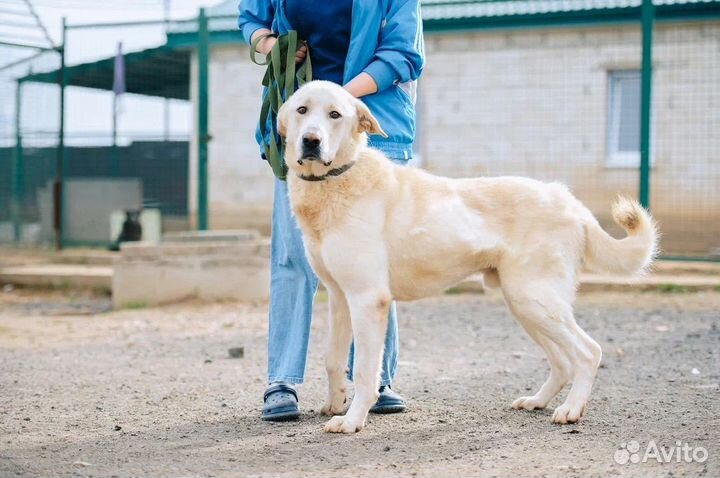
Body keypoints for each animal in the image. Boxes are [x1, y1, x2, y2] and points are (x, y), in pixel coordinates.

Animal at [278, 81, 660, 434]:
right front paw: (334, 404)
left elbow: (363, 371)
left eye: (335, 115)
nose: (311, 141)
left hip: (535, 299)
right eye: (302, 110)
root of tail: (568, 200)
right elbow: (332, 359)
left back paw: (571, 409)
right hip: (525, 305)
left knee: (588, 352)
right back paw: (537, 401)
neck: (335, 180)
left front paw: (352, 420)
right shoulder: (340, 298)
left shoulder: (367, 299)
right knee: (563, 361)